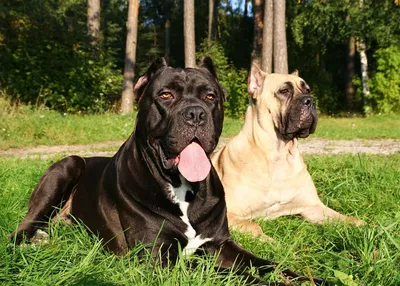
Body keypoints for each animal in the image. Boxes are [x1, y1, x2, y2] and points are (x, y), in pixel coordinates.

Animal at [11, 57, 324, 284]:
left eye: (211, 96)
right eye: (165, 94)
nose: (195, 113)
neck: (182, 186)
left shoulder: (220, 244)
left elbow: (268, 264)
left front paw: (311, 278)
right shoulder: (160, 259)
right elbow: (237, 276)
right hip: (68, 164)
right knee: (24, 226)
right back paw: (32, 241)